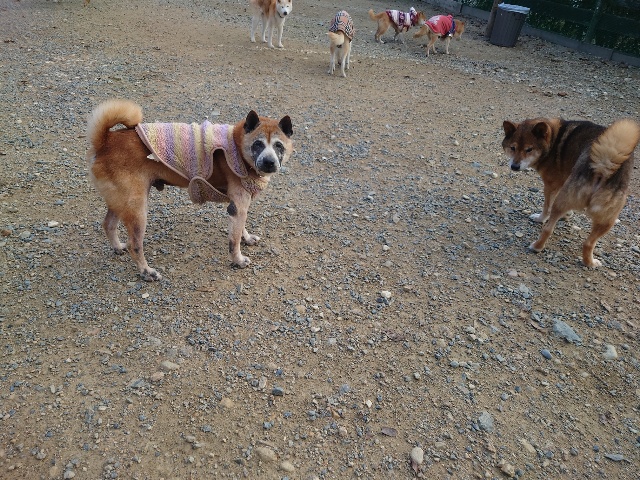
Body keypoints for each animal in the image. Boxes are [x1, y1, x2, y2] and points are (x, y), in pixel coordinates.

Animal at [87, 100, 293, 281]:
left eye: (278, 145)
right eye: (258, 144)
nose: (269, 162)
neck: (237, 145)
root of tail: (105, 142)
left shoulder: (240, 207)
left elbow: (241, 229)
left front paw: (247, 238)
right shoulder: (238, 206)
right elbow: (233, 240)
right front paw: (238, 259)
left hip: (121, 202)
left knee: (108, 224)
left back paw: (117, 247)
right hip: (137, 209)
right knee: (134, 245)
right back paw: (146, 272)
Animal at [502, 118, 640, 267]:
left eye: (529, 149)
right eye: (513, 148)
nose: (514, 166)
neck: (554, 138)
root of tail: (604, 167)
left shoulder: (551, 186)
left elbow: (546, 208)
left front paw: (540, 218)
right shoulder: (563, 182)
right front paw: (568, 214)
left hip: (562, 201)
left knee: (548, 229)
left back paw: (536, 246)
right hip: (607, 219)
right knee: (588, 243)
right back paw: (590, 263)